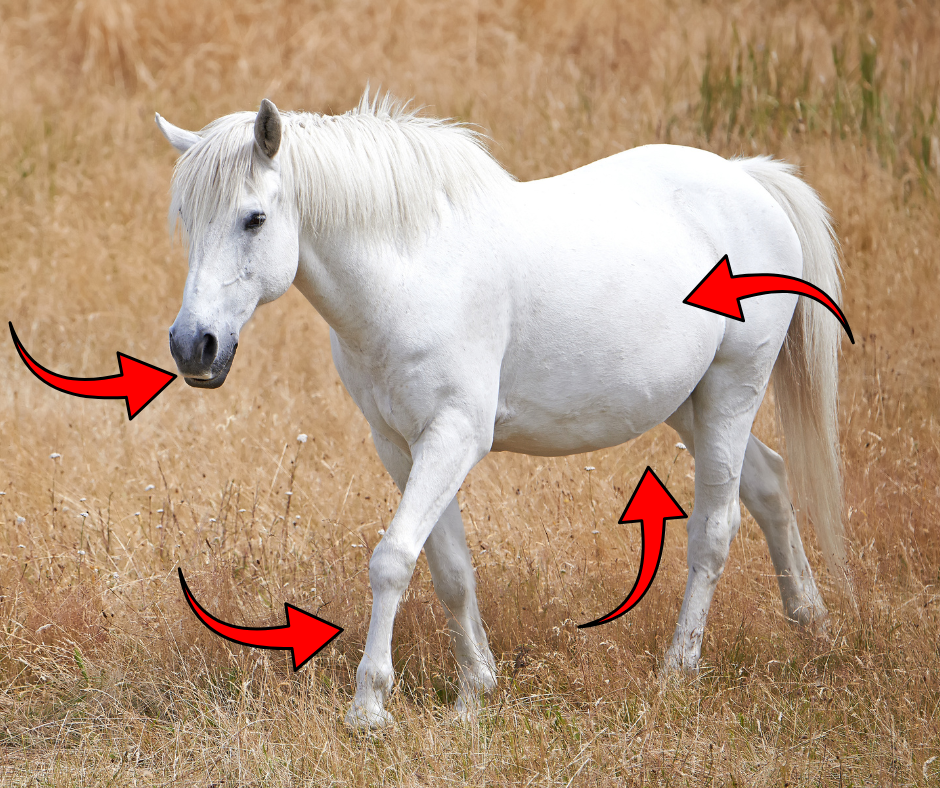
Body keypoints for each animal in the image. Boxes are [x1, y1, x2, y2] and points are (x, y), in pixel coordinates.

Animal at [156, 91, 849, 729]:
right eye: (187, 216)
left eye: (254, 219)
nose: (193, 345)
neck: (413, 274)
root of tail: (748, 179)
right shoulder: (400, 444)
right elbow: (449, 569)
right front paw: (474, 693)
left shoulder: (454, 437)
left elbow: (393, 559)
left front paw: (369, 706)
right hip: (690, 403)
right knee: (769, 483)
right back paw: (813, 625)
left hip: (734, 389)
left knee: (714, 528)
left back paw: (679, 670)